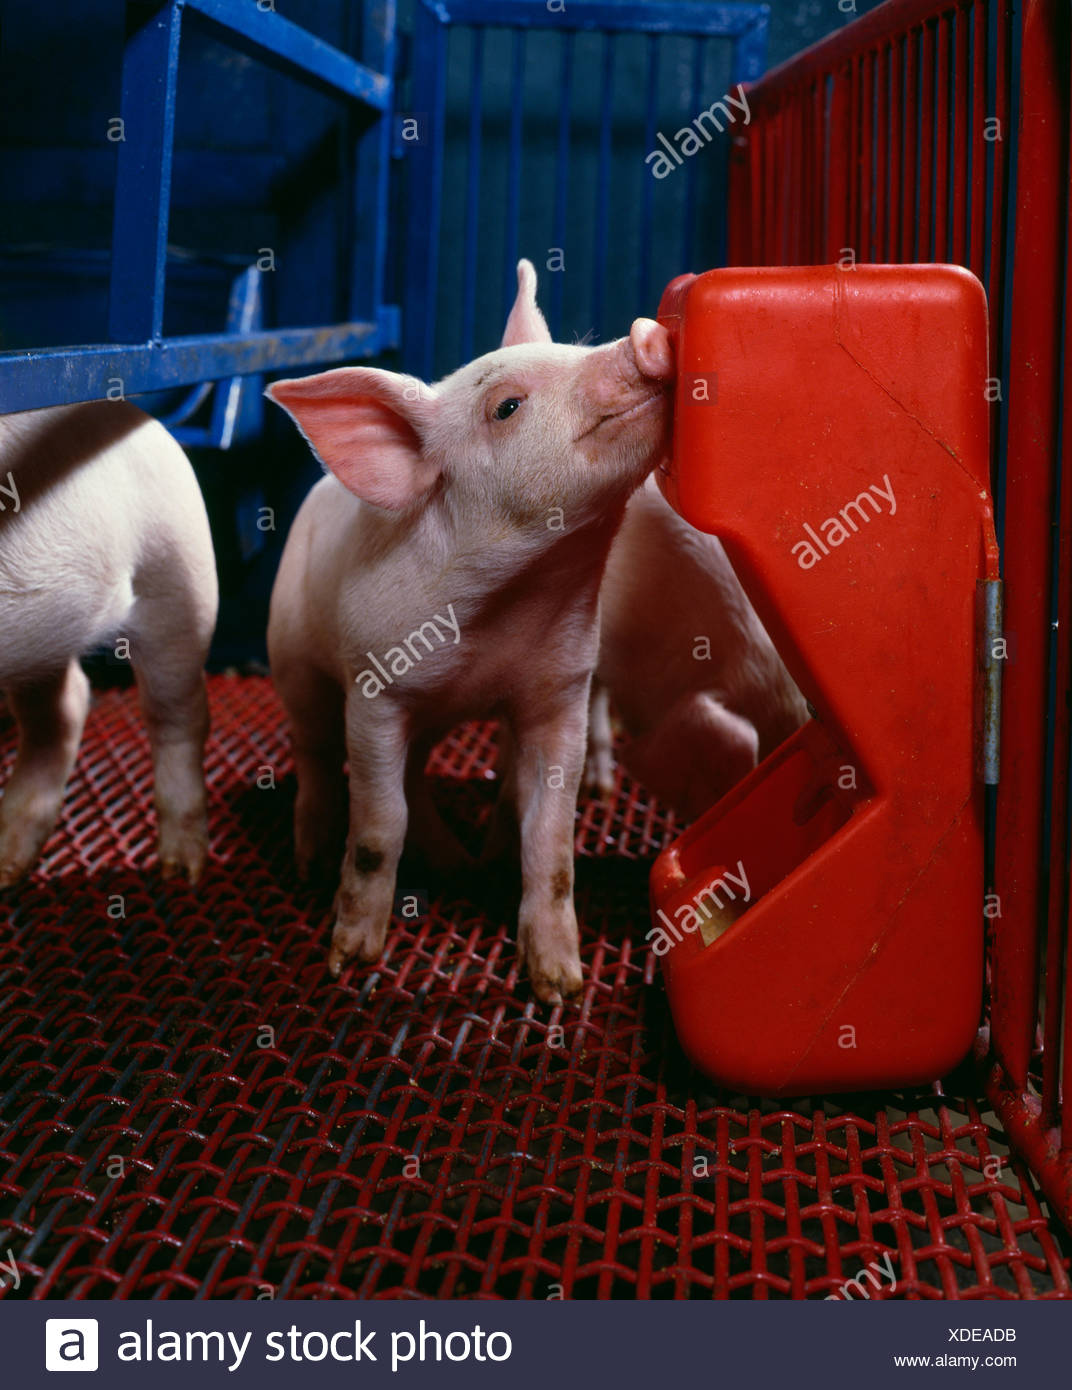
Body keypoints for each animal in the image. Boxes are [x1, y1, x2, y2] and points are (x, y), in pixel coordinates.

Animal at [0, 400, 217, 885]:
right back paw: (9, 866)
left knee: (177, 712)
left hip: (178, 569)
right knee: (63, 708)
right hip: (44, 638)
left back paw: (181, 871)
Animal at [266, 259, 673, 1003]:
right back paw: (309, 858)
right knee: (314, 752)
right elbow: (378, 825)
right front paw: (351, 961)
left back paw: (458, 864)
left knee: (416, 775)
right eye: (506, 408)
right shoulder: (376, 691)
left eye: (571, 349)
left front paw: (560, 985)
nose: (645, 332)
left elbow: (550, 832)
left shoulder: (561, 691)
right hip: (294, 662)